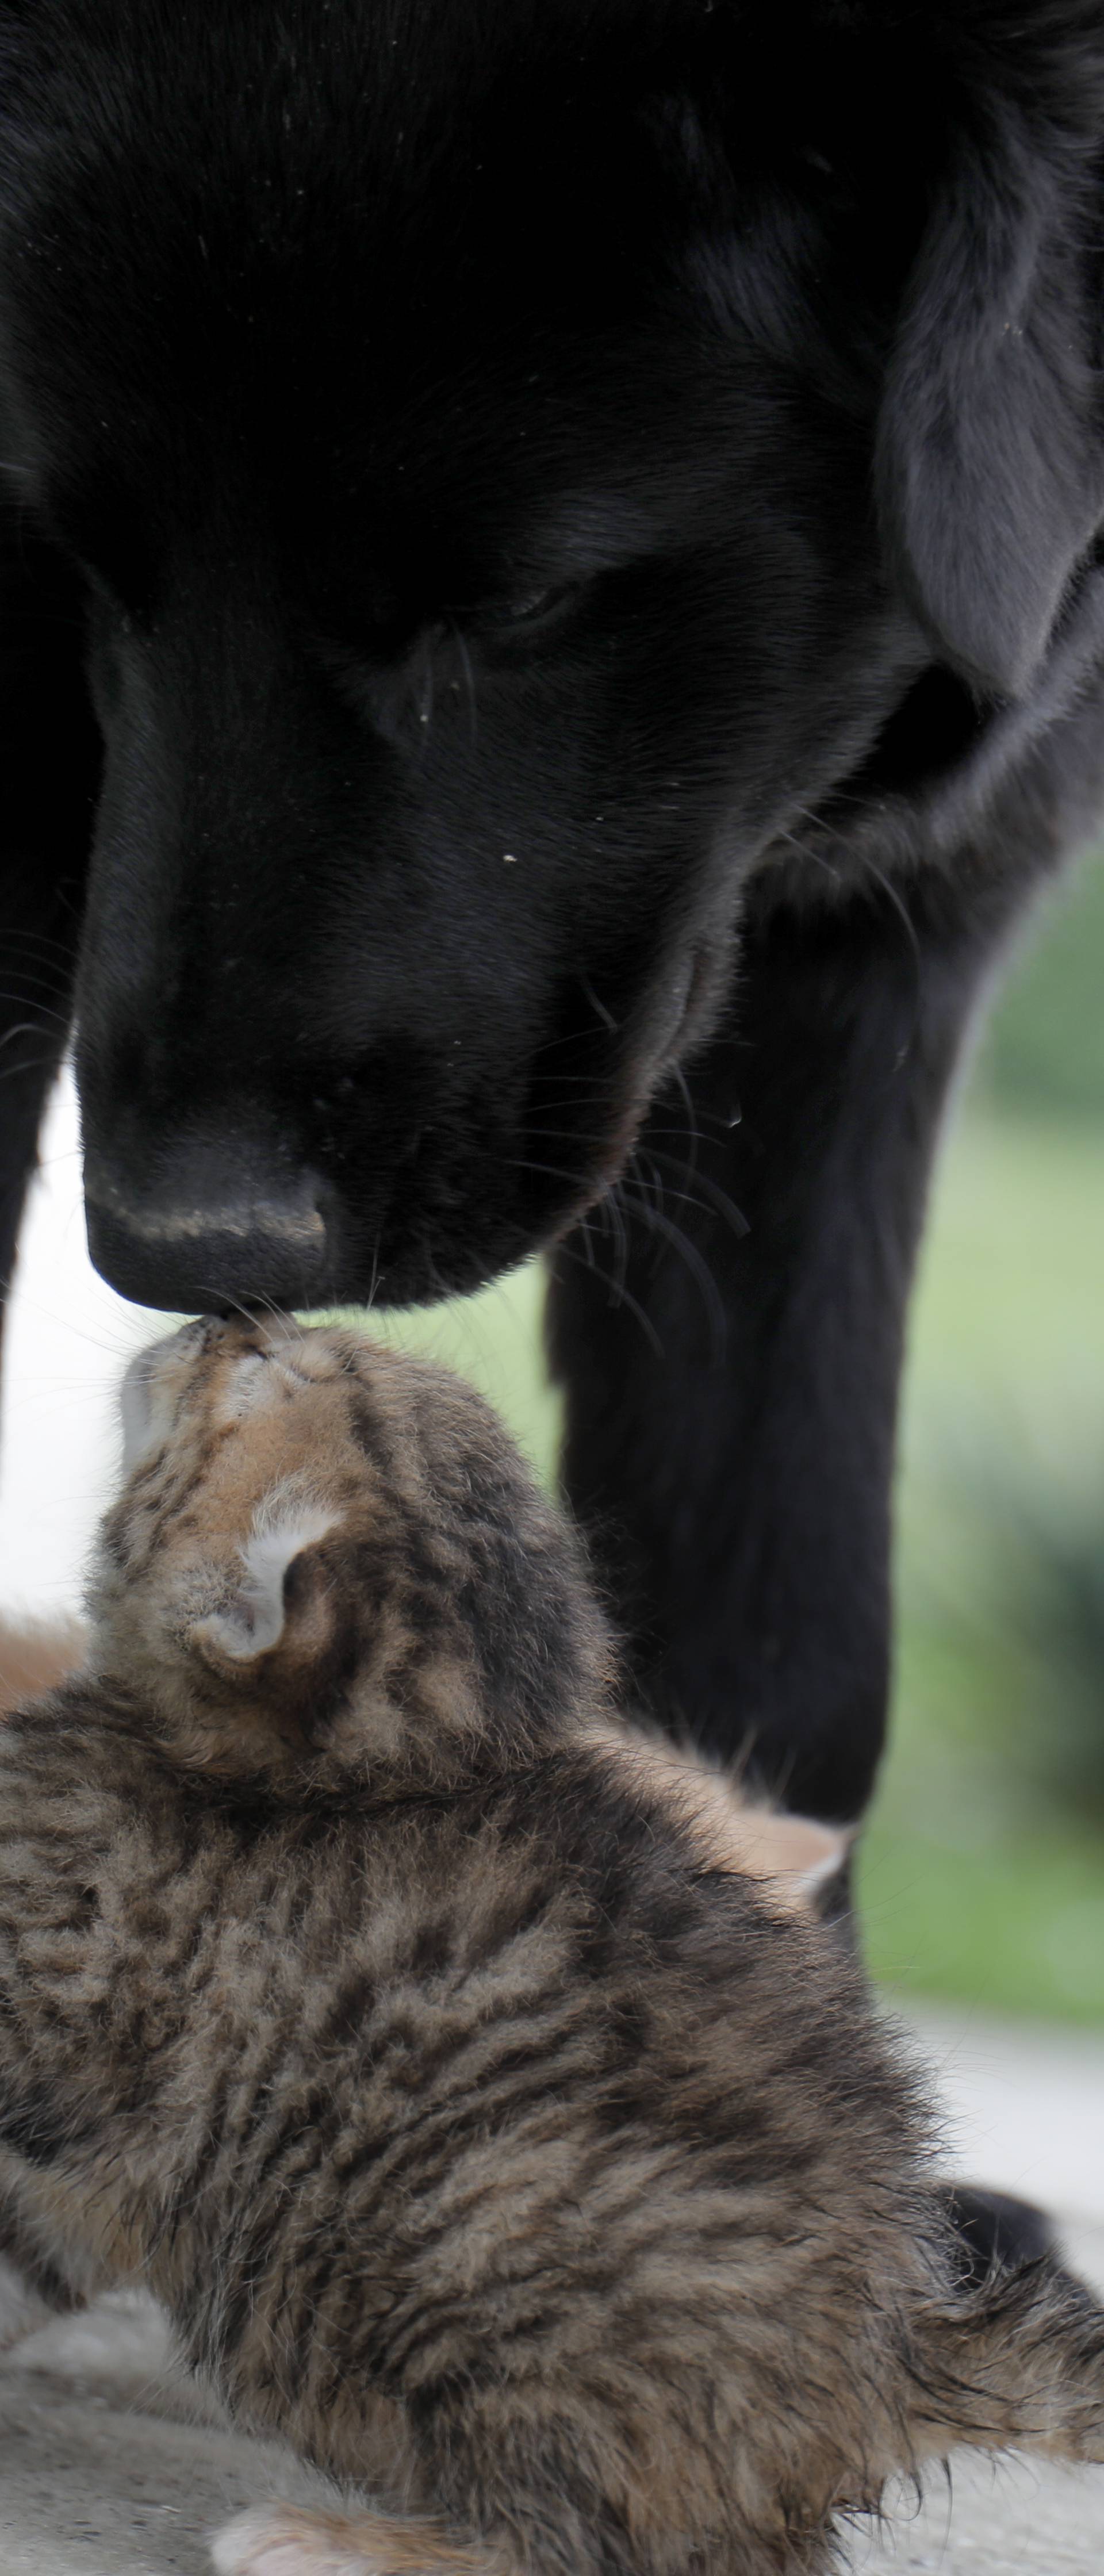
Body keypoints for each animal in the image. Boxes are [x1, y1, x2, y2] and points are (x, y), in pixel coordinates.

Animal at [0, 1308, 1091, 2576]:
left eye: (271, 1373)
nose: (233, 1317)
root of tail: (900, 2354)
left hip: (477, 2260)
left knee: (569, 2542)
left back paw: (334, 2538)